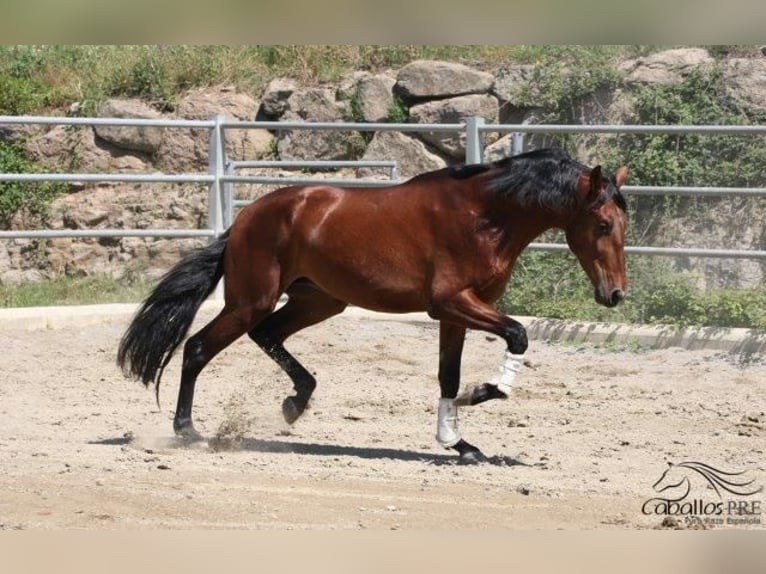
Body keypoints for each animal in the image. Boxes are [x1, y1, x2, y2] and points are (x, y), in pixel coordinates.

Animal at [115, 146, 632, 466]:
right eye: (603, 224)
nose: (615, 294)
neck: (485, 216)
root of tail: (246, 218)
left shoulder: (457, 312)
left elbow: (448, 376)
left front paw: (460, 443)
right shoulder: (452, 302)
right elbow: (518, 335)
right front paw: (481, 395)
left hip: (320, 300)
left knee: (268, 336)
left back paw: (295, 402)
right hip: (251, 300)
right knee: (199, 348)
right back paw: (188, 430)